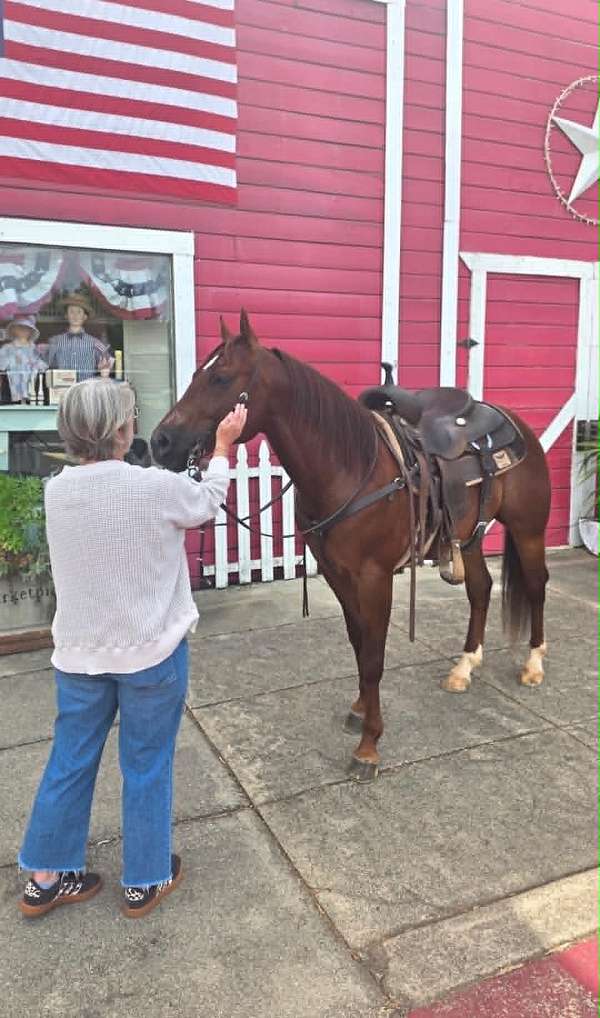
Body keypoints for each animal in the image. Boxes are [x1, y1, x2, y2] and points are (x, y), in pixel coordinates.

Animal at [151, 311, 551, 782]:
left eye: (221, 378)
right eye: (198, 374)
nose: (160, 442)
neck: (350, 467)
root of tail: (512, 422)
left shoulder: (375, 577)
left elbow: (374, 656)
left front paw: (369, 747)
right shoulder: (338, 575)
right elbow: (359, 644)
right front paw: (360, 711)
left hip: (528, 530)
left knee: (536, 586)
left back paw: (533, 665)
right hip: (468, 537)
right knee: (481, 590)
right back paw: (464, 667)